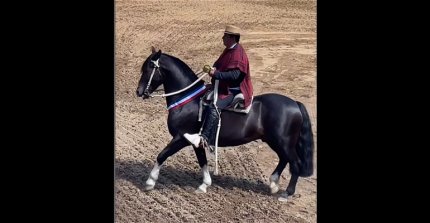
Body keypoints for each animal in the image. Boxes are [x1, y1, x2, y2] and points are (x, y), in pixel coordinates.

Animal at [136, 46, 314, 200]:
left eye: (149, 67)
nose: (139, 91)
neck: (188, 100)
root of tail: (294, 104)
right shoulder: (197, 142)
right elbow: (202, 161)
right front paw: (204, 185)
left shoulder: (181, 138)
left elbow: (162, 155)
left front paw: (150, 182)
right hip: (275, 141)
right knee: (284, 159)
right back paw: (273, 184)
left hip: (283, 142)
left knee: (295, 163)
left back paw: (286, 193)